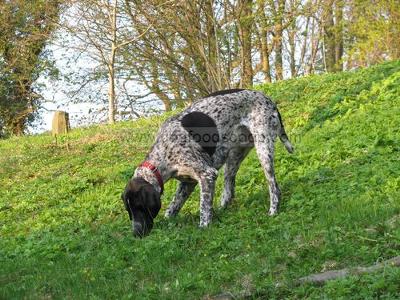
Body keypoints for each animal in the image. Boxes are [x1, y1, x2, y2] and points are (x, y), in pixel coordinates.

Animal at [122, 89, 294, 237]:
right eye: (129, 211)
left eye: (140, 207)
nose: (136, 234)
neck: (164, 152)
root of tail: (268, 99)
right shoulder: (187, 183)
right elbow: (172, 208)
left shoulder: (207, 175)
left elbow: (204, 209)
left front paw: (204, 228)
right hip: (234, 157)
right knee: (229, 192)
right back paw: (222, 210)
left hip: (263, 151)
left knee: (274, 188)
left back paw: (273, 211)